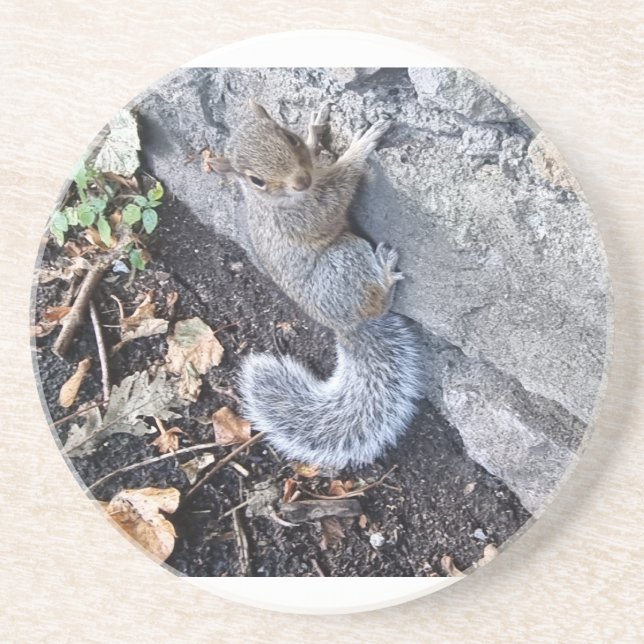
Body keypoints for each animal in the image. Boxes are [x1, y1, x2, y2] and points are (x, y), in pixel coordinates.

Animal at [211, 99, 426, 468]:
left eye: (289, 138)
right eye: (256, 180)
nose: (301, 180)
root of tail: (346, 325)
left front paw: (315, 134)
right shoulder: (306, 213)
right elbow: (338, 190)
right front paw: (359, 147)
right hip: (345, 258)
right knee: (377, 301)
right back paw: (385, 273)